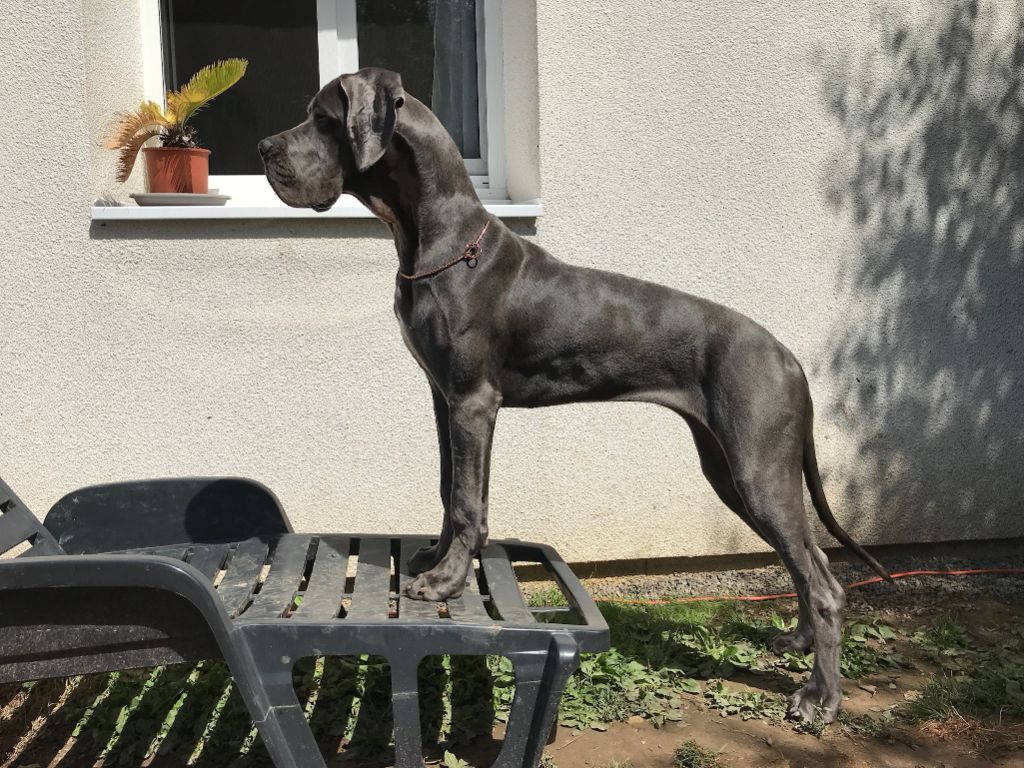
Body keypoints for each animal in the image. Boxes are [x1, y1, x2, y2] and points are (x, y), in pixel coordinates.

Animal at [262, 69, 888, 724]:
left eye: (323, 118)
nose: (262, 149)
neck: (438, 244)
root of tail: (789, 356)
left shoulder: (472, 402)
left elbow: (466, 500)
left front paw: (446, 583)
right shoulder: (444, 399)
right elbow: (447, 487)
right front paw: (435, 559)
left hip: (758, 470)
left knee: (823, 581)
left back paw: (821, 695)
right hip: (732, 470)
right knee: (808, 561)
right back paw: (800, 640)